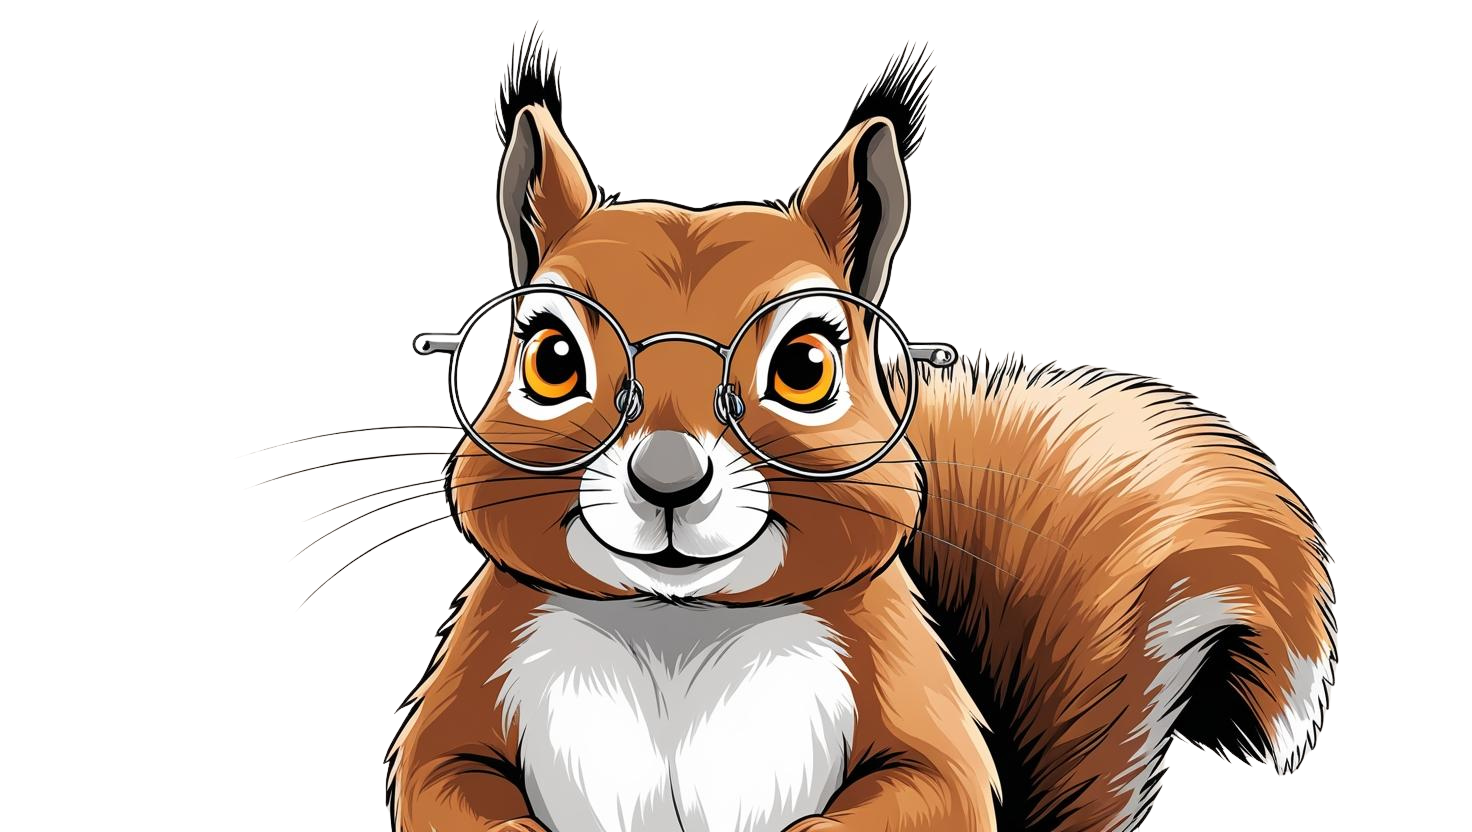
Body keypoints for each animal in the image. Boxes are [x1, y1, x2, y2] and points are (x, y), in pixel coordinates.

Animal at [300, 26, 1341, 832]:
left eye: (805, 366)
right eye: (551, 357)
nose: (668, 480)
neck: (672, 631)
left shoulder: (906, 688)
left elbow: (937, 788)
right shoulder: (479, 675)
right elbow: (439, 775)